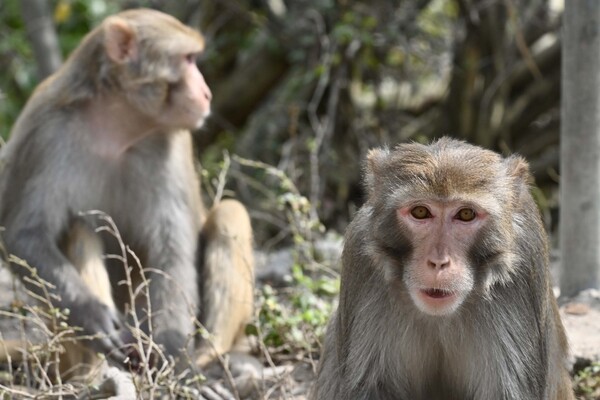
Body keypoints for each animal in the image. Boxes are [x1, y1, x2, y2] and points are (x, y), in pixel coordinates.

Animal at [0, 9, 254, 376]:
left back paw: (207, 356)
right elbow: (23, 234)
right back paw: (93, 370)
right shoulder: (43, 128)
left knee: (230, 213)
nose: (206, 93)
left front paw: (171, 349)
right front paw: (91, 315)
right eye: (188, 59)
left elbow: (173, 251)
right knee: (78, 226)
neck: (119, 125)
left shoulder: (172, 143)